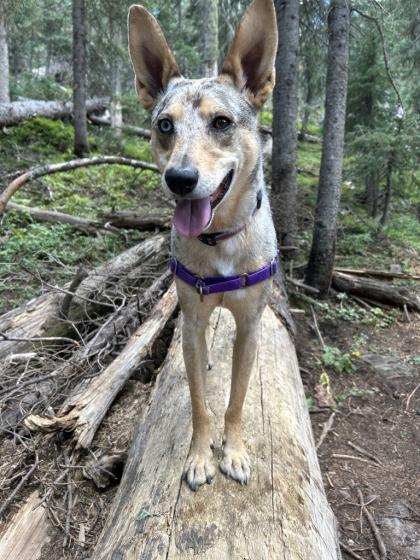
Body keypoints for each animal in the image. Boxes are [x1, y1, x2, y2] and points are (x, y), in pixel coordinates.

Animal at [128, 0, 278, 490]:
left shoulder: (250, 325)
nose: (180, 178)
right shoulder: (192, 320)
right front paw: (198, 456)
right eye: (164, 125)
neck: (220, 240)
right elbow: (199, 402)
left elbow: (236, 400)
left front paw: (234, 452)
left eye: (222, 122)